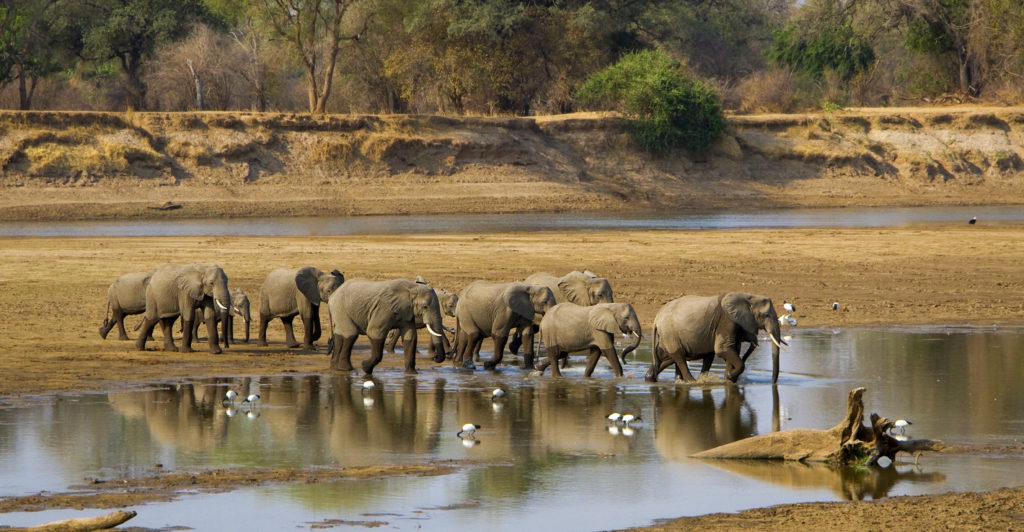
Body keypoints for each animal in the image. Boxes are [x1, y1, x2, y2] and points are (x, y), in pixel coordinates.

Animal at [643, 292, 786, 384]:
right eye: (766, 315)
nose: (773, 383)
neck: (747, 297)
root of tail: (656, 318)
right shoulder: (727, 321)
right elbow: (723, 350)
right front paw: (729, 377)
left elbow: (732, 350)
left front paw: (728, 379)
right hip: (669, 332)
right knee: (678, 356)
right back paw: (692, 382)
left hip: (667, 334)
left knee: (666, 355)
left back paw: (652, 378)